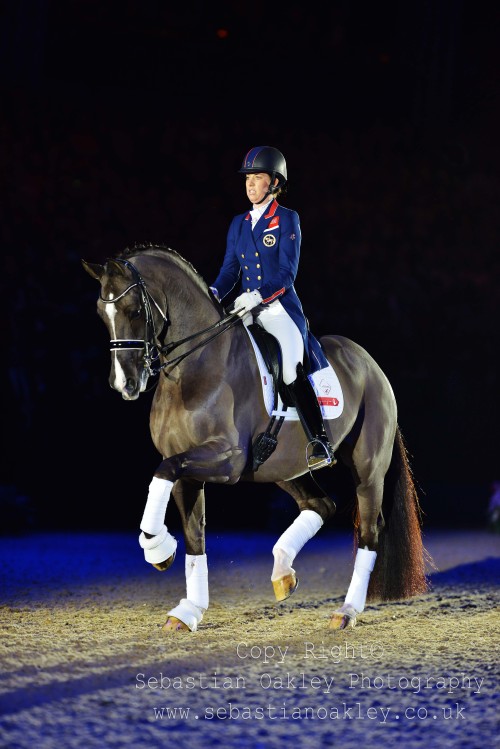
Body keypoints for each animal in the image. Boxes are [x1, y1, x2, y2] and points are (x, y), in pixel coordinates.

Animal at [81, 244, 426, 632]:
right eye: (101, 313)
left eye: (135, 310)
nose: (124, 384)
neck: (192, 368)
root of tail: (370, 364)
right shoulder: (188, 468)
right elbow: (194, 535)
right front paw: (188, 609)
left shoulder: (227, 460)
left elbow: (161, 473)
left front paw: (157, 546)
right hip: (283, 467)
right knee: (321, 505)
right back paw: (283, 572)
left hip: (368, 469)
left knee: (369, 530)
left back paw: (347, 611)